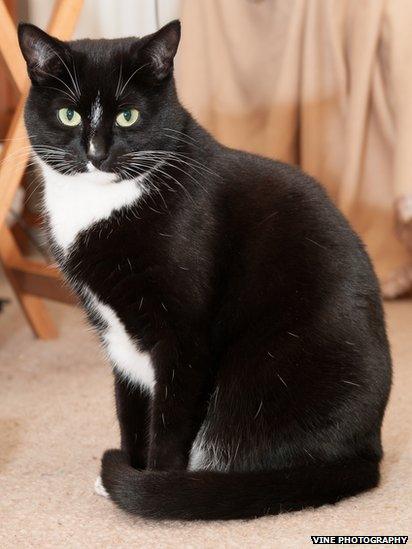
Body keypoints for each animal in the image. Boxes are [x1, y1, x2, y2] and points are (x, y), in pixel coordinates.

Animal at [18, 20, 392, 520]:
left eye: (128, 116)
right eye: (69, 116)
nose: (96, 153)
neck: (104, 204)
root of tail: (370, 451)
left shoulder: (185, 333)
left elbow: (171, 415)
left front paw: (153, 484)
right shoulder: (115, 332)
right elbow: (130, 405)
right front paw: (131, 467)